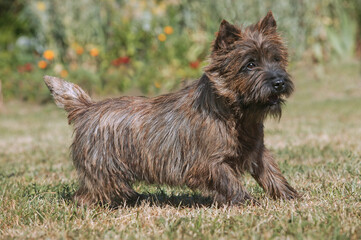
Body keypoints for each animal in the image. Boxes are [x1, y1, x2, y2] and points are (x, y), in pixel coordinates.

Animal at [44, 10, 298, 206]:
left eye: (276, 59)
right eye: (250, 64)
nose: (279, 82)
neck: (236, 116)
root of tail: (87, 107)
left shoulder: (257, 150)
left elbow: (271, 173)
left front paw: (290, 196)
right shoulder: (208, 162)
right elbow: (229, 181)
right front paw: (247, 202)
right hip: (103, 168)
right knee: (87, 194)